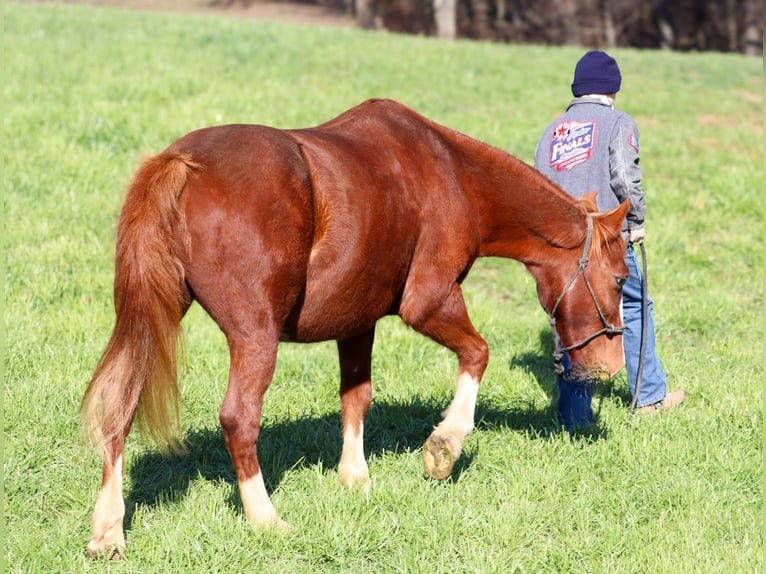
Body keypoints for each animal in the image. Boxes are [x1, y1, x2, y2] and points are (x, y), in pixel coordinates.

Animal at [81, 98, 628, 557]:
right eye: (622, 279)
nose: (612, 364)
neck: (451, 172)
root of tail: (182, 162)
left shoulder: (356, 322)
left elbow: (356, 397)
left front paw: (355, 477)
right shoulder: (429, 302)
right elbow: (478, 354)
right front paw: (444, 448)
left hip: (154, 320)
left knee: (121, 407)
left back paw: (108, 530)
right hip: (254, 336)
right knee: (238, 418)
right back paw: (265, 518)